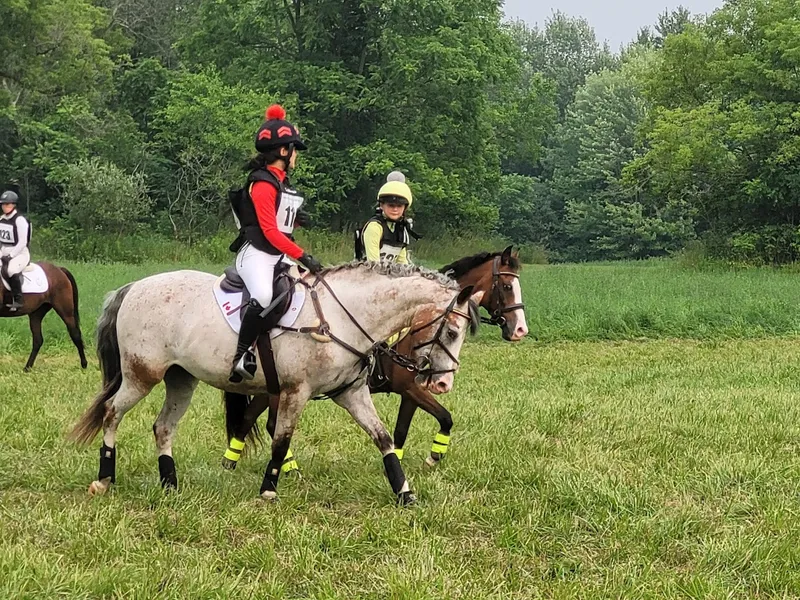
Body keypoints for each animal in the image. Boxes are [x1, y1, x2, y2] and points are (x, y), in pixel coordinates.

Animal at [70, 264, 476, 504]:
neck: (343, 317)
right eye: (452, 332)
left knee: (163, 427)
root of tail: (134, 287)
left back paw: (169, 483)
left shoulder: (351, 393)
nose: (442, 384)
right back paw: (104, 478)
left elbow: (384, 439)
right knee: (111, 413)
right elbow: (281, 440)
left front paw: (404, 492)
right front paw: (268, 489)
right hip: (142, 376)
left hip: (181, 380)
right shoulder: (296, 392)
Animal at [222, 246, 528, 476]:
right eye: (506, 286)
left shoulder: (410, 392)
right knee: (268, 423)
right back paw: (284, 467)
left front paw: (399, 463)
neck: (414, 327)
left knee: (248, 418)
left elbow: (402, 429)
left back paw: (231, 462)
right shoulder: (410, 388)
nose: (520, 330)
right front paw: (433, 457)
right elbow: (445, 417)